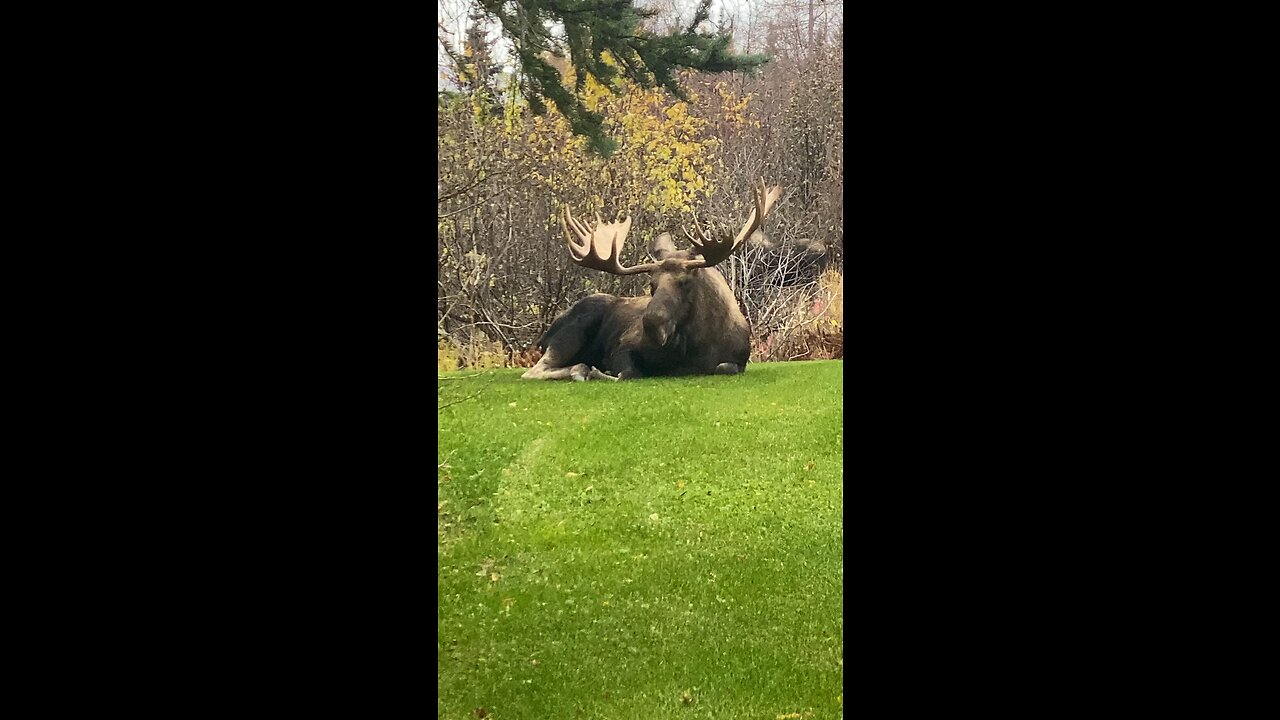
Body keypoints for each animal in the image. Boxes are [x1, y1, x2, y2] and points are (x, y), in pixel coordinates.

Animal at [522, 178, 783, 381]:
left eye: (685, 281)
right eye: (651, 285)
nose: (651, 325)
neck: (693, 347)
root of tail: (543, 336)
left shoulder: (738, 361)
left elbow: (723, 367)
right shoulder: (622, 345)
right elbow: (627, 372)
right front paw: (599, 371)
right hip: (575, 326)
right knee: (535, 370)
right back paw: (580, 370)